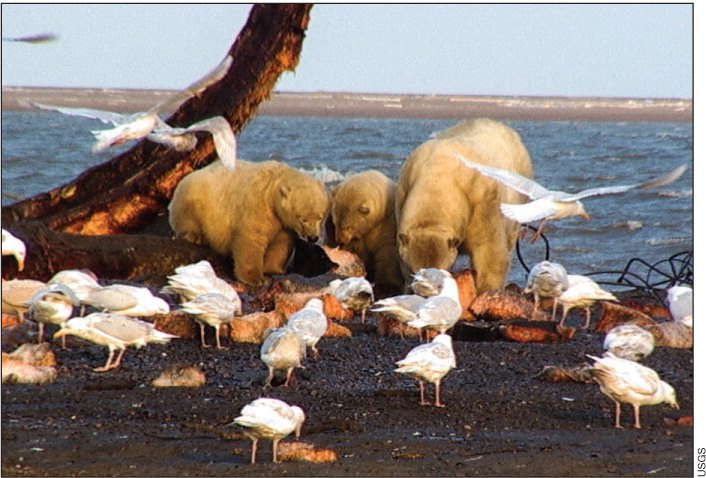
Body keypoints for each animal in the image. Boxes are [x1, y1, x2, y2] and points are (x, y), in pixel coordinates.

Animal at [168, 161, 330, 288]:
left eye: (320, 217)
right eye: (302, 218)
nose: (313, 238)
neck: (273, 189)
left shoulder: (282, 223)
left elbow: (280, 243)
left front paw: (274, 270)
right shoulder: (258, 206)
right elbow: (251, 239)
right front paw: (257, 279)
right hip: (196, 198)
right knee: (188, 216)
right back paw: (196, 237)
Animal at [328, 168, 404, 296]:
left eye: (348, 227)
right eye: (335, 222)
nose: (339, 240)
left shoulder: (387, 223)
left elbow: (387, 251)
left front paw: (386, 287)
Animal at [396, 117, 532, 294]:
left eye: (441, 274)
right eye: (414, 272)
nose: (425, 294)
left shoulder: (483, 201)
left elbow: (490, 253)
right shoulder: (403, 192)